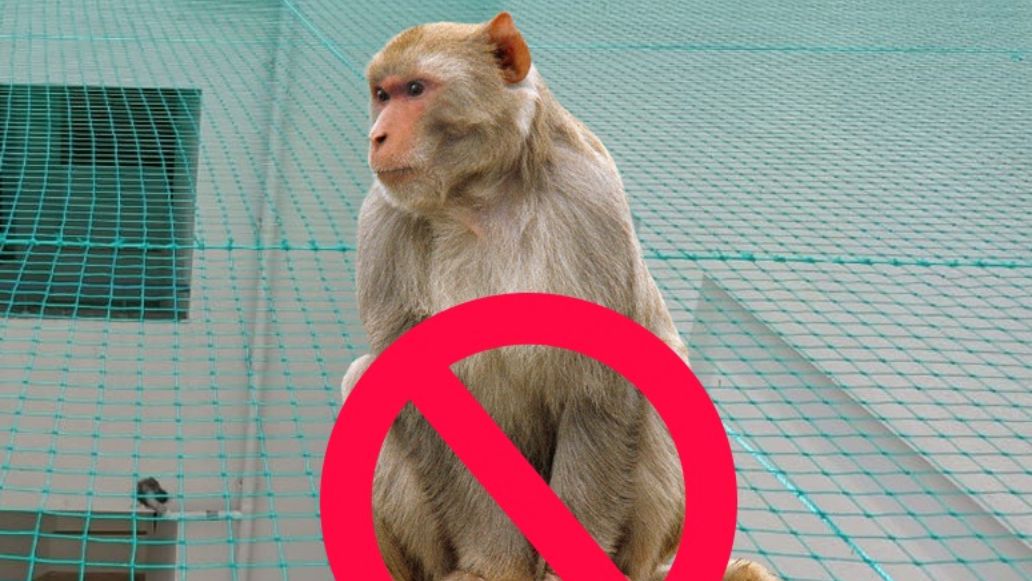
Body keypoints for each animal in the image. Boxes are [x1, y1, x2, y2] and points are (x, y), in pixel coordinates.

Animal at [341, 11, 779, 581]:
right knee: (362, 379)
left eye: (415, 89)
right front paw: (494, 567)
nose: (377, 135)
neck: (478, 198)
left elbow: (600, 382)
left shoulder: (589, 201)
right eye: (381, 94)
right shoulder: (382, 222)